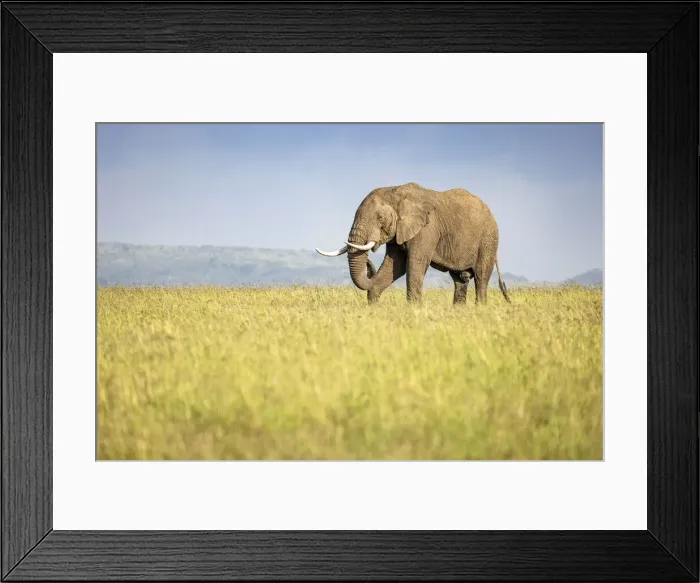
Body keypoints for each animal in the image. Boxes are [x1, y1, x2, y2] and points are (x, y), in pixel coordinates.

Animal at [315, 182, 511, 305]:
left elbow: (415, 264)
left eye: (380, 218)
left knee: (481, 278)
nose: (369, 262)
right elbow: (396, 266)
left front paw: (414, 309)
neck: (394, 191)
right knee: (460, 280)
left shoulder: (427, 229)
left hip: (488, 239)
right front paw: (373, 305)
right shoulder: (398, 232)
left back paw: (480, 308)